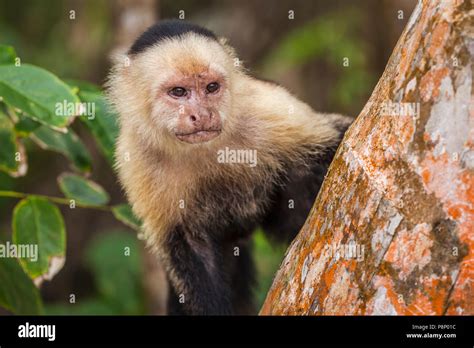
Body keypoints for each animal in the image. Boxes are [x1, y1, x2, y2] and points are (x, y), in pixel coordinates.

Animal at [107, 20, 352, 316]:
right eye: (178, 92)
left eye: (211, 87)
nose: (202, 115)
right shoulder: (136, 158)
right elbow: (190, 247)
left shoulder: (264, 108)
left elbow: (334, 138)